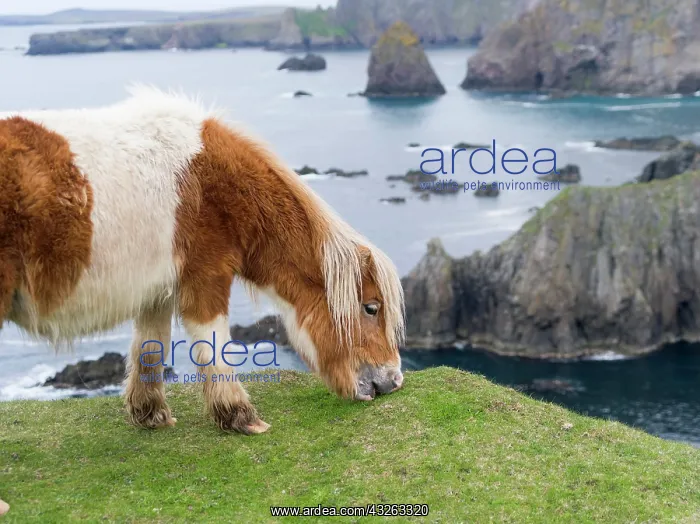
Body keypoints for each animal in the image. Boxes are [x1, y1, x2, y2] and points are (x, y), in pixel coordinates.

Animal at [0, 86, 406, 438]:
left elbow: (150, 345)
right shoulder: (206, 276)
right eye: (371, 308)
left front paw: (149, 414)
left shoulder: (158, 289)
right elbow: (213, 343)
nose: (394, 381)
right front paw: (239, 416)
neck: (217, 182)